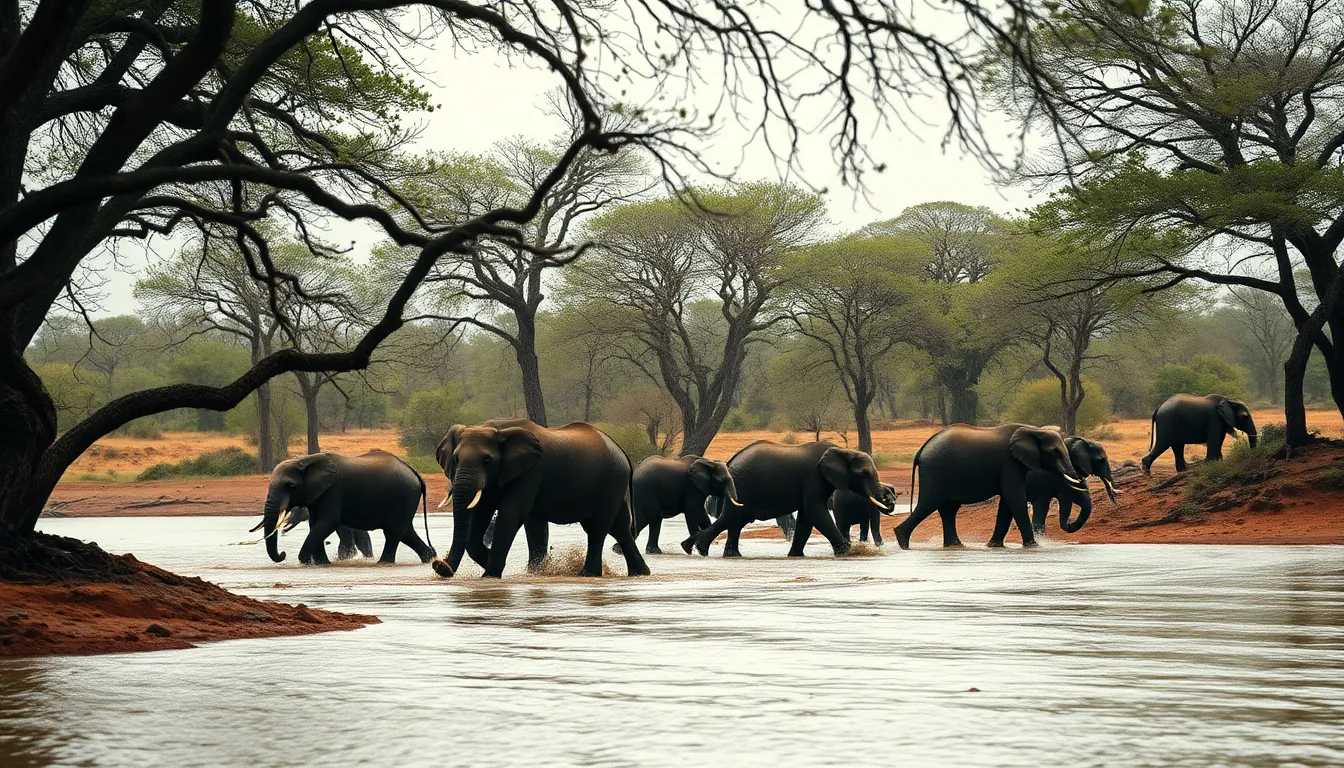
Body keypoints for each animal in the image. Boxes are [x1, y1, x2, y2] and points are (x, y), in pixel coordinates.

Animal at [251, 450, 436, 565]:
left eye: (289, 486)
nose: (283, 554)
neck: (304, 460)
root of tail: (416, 473)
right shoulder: (318, 495)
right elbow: (315, 524)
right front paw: (321, 564)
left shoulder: (334, 491)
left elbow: (326, 523)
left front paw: (305, 561)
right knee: (405, 532)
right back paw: (430, 558)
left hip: (405, 495)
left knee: (394, 532)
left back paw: (383, 563)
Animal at [433, 419, 650, 579]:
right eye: (455, 459)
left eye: (487, 460)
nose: (440, 566)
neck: (497, 428)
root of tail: (622, 452)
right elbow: (480, 513)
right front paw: (489, 561)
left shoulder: (531, 472)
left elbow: (511, 515)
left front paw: (490, 575)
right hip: (614, 483)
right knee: (619, 528)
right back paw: (639, 573)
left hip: (611, 481)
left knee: (598, 527)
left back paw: (588, 574)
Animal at [683, 441, 891, 558]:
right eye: (864, 474)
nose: (888, 499)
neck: (843, 450)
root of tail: (730, 462)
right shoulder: (813, 478)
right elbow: (815, 511)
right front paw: (848, 552)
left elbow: (807, 517)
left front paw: (795, 555)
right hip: (742, 486)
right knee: (731, 518)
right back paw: (700, 549)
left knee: (735, 521)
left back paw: (715, 552)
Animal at [893, 424, 1089, 550]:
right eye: (1055, 452)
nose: (1070, 524)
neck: (1034, 430)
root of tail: (922, 449)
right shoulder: (1009, 463)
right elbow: (1015, 498)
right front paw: (1033, 546)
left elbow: (1007, 503)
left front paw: (993, 546)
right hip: (936, 471)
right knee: (928, 504)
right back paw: (902, 541)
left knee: (949, 509)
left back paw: (956, 546)